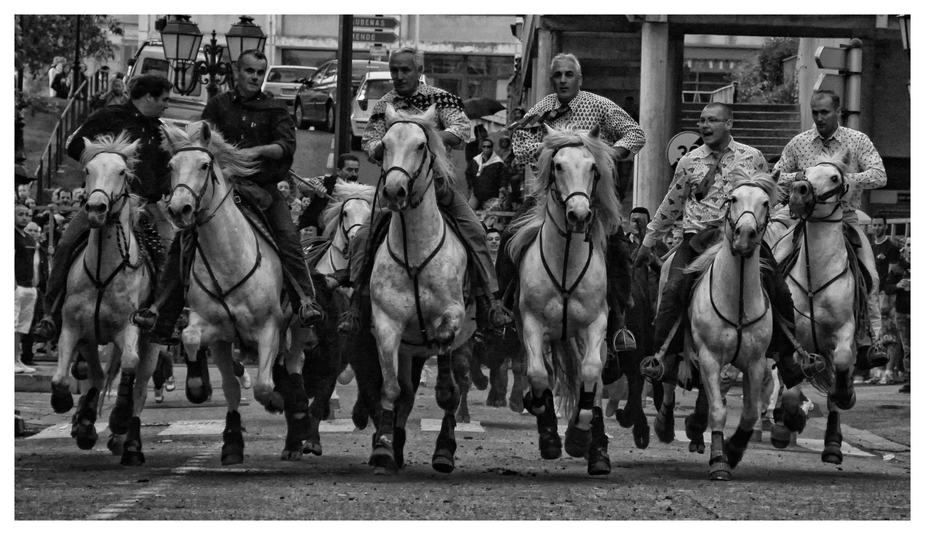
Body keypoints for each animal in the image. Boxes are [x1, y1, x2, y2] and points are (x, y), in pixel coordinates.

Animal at [50, 133, 161, 464]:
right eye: (88, 170)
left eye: (122, 172)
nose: (96, 208)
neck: (103, 272)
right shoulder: (75, 329)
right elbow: (65, 378)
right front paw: (73, 412)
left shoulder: (130, 328)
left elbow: (129, 365)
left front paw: (118, 420)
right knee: (98, 378)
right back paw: (87, 425)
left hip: (153, 344)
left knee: (139, 388)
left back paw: (129, 443)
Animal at [506, 125, 620, 478]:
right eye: (557, 166)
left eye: (593, 167)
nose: (579, 215)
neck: (567, 258)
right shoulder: (532, 323)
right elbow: (538, 375)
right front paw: (550, 437)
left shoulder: (596, 323)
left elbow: (590, 376)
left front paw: (579, 434)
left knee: (594, 383)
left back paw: (596, 451)